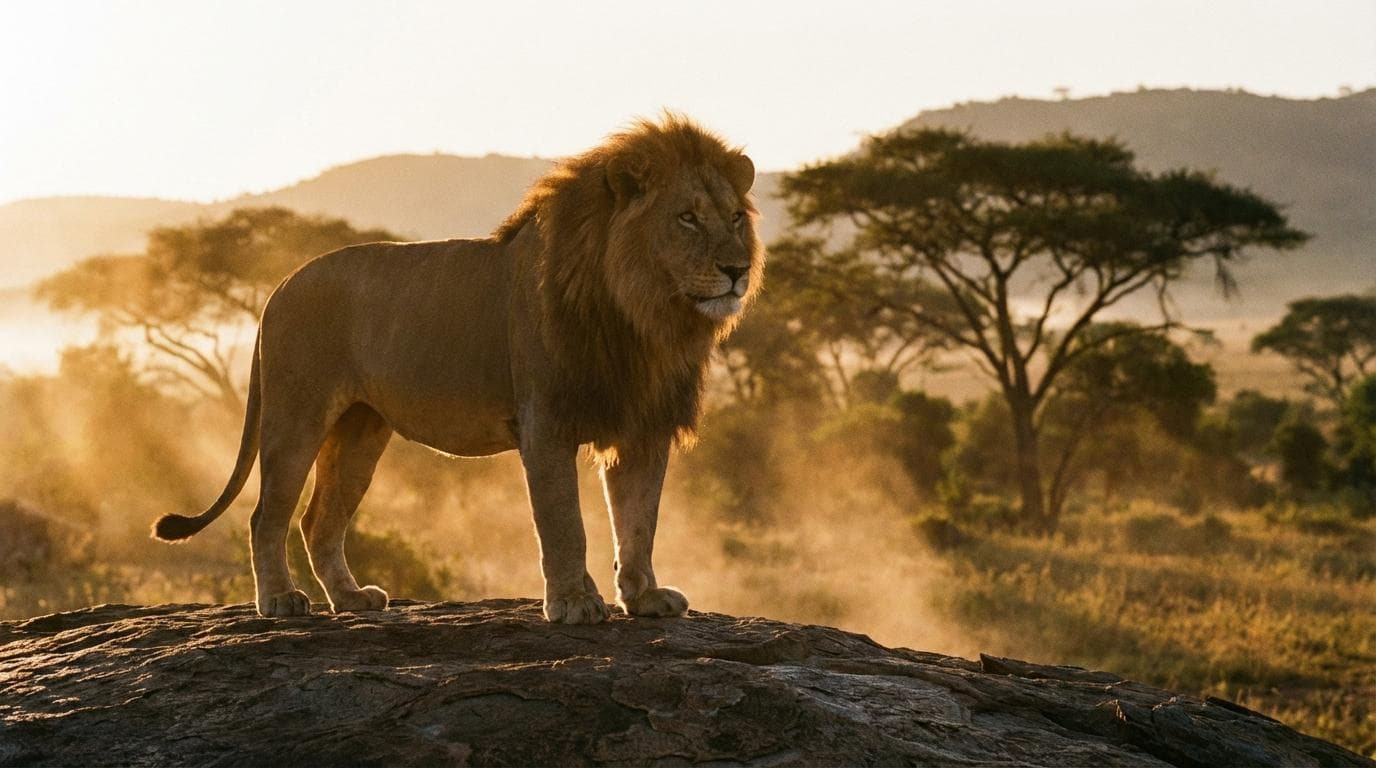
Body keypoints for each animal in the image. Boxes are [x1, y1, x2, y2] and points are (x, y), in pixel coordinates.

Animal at [152, 115, 763, 623]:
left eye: (735, 217)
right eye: (687, 218)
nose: (737, 270)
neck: (642, 318)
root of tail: (280, 284)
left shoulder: (643, 425)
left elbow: (639, 521)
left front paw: (644, 597)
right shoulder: (546, 424)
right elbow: (564, 525)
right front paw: (572, 603)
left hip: (360, 430)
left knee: (317, 519)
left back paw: (351, 598)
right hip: (296, 415)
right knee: (267, 515)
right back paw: (280, 600)